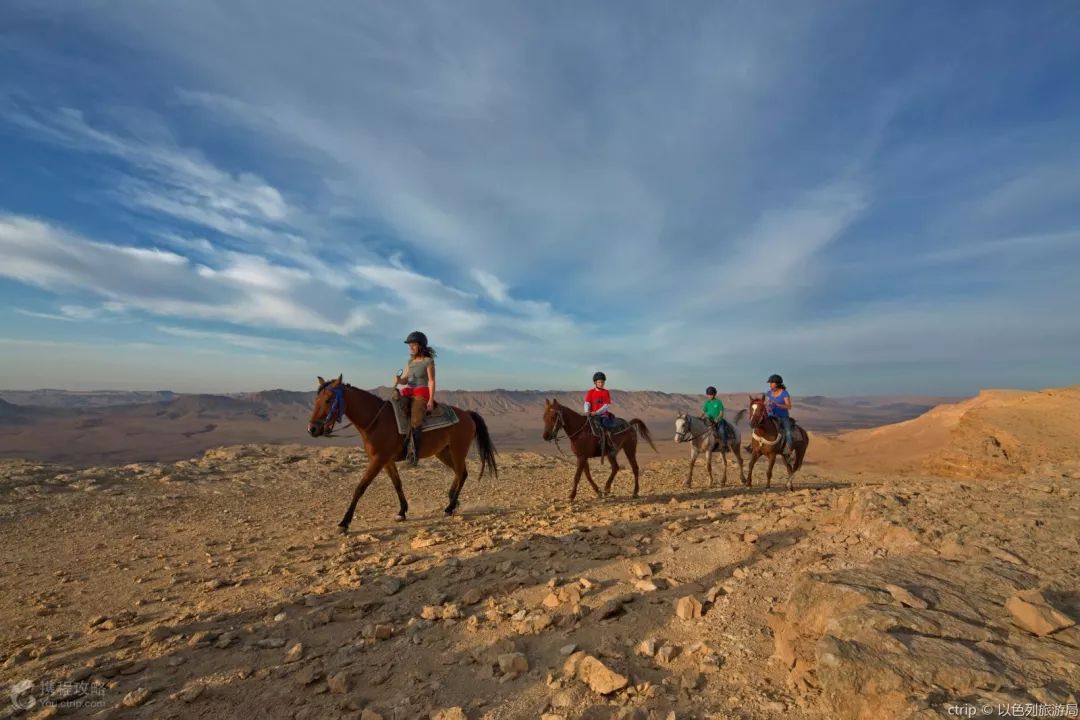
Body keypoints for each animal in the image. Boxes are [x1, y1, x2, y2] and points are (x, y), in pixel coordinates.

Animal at [308, 375, 496, 533]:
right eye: (316, 400)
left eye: (328, 400)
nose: (312, 429)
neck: (376, 420)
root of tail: (468, 414)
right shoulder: (386, 461)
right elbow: (397, 484)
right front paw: (402, 512)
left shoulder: (378, 460)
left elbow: (360, 487)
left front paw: (344, 523)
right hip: (443, 452)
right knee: (458, 472)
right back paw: (453, 501)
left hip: (458, 450)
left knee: (462, 473)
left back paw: (449, 508)